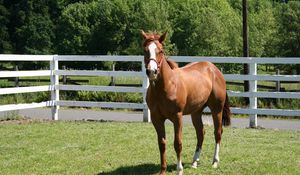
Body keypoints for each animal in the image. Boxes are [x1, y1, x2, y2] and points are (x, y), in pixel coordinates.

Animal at [142, 31, 231, 175]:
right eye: (145, 50)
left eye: (160, 50)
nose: (152, 71)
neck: (166, 86)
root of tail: (214, 69)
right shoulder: (156, 118)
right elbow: (162, 143)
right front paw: (162, 171)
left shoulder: (177, 117)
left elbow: (178, 143)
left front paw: (179, 170)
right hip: (196, 112)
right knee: (201, 133)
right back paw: (194, 161)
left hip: (217, 109)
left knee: (218, 132)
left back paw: (215, 162)